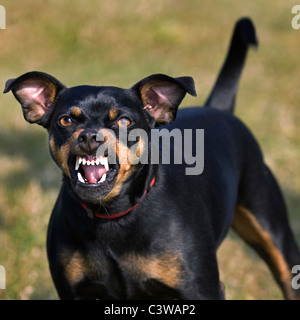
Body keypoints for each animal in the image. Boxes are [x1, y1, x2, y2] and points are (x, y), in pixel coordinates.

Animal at [4, 19, 300, 300]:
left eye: (124, 121)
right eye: (65, 120)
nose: (89, 137)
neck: (112, 215)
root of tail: (218, 109)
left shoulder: (202, 289)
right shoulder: (73, 291)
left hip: (274, 234)